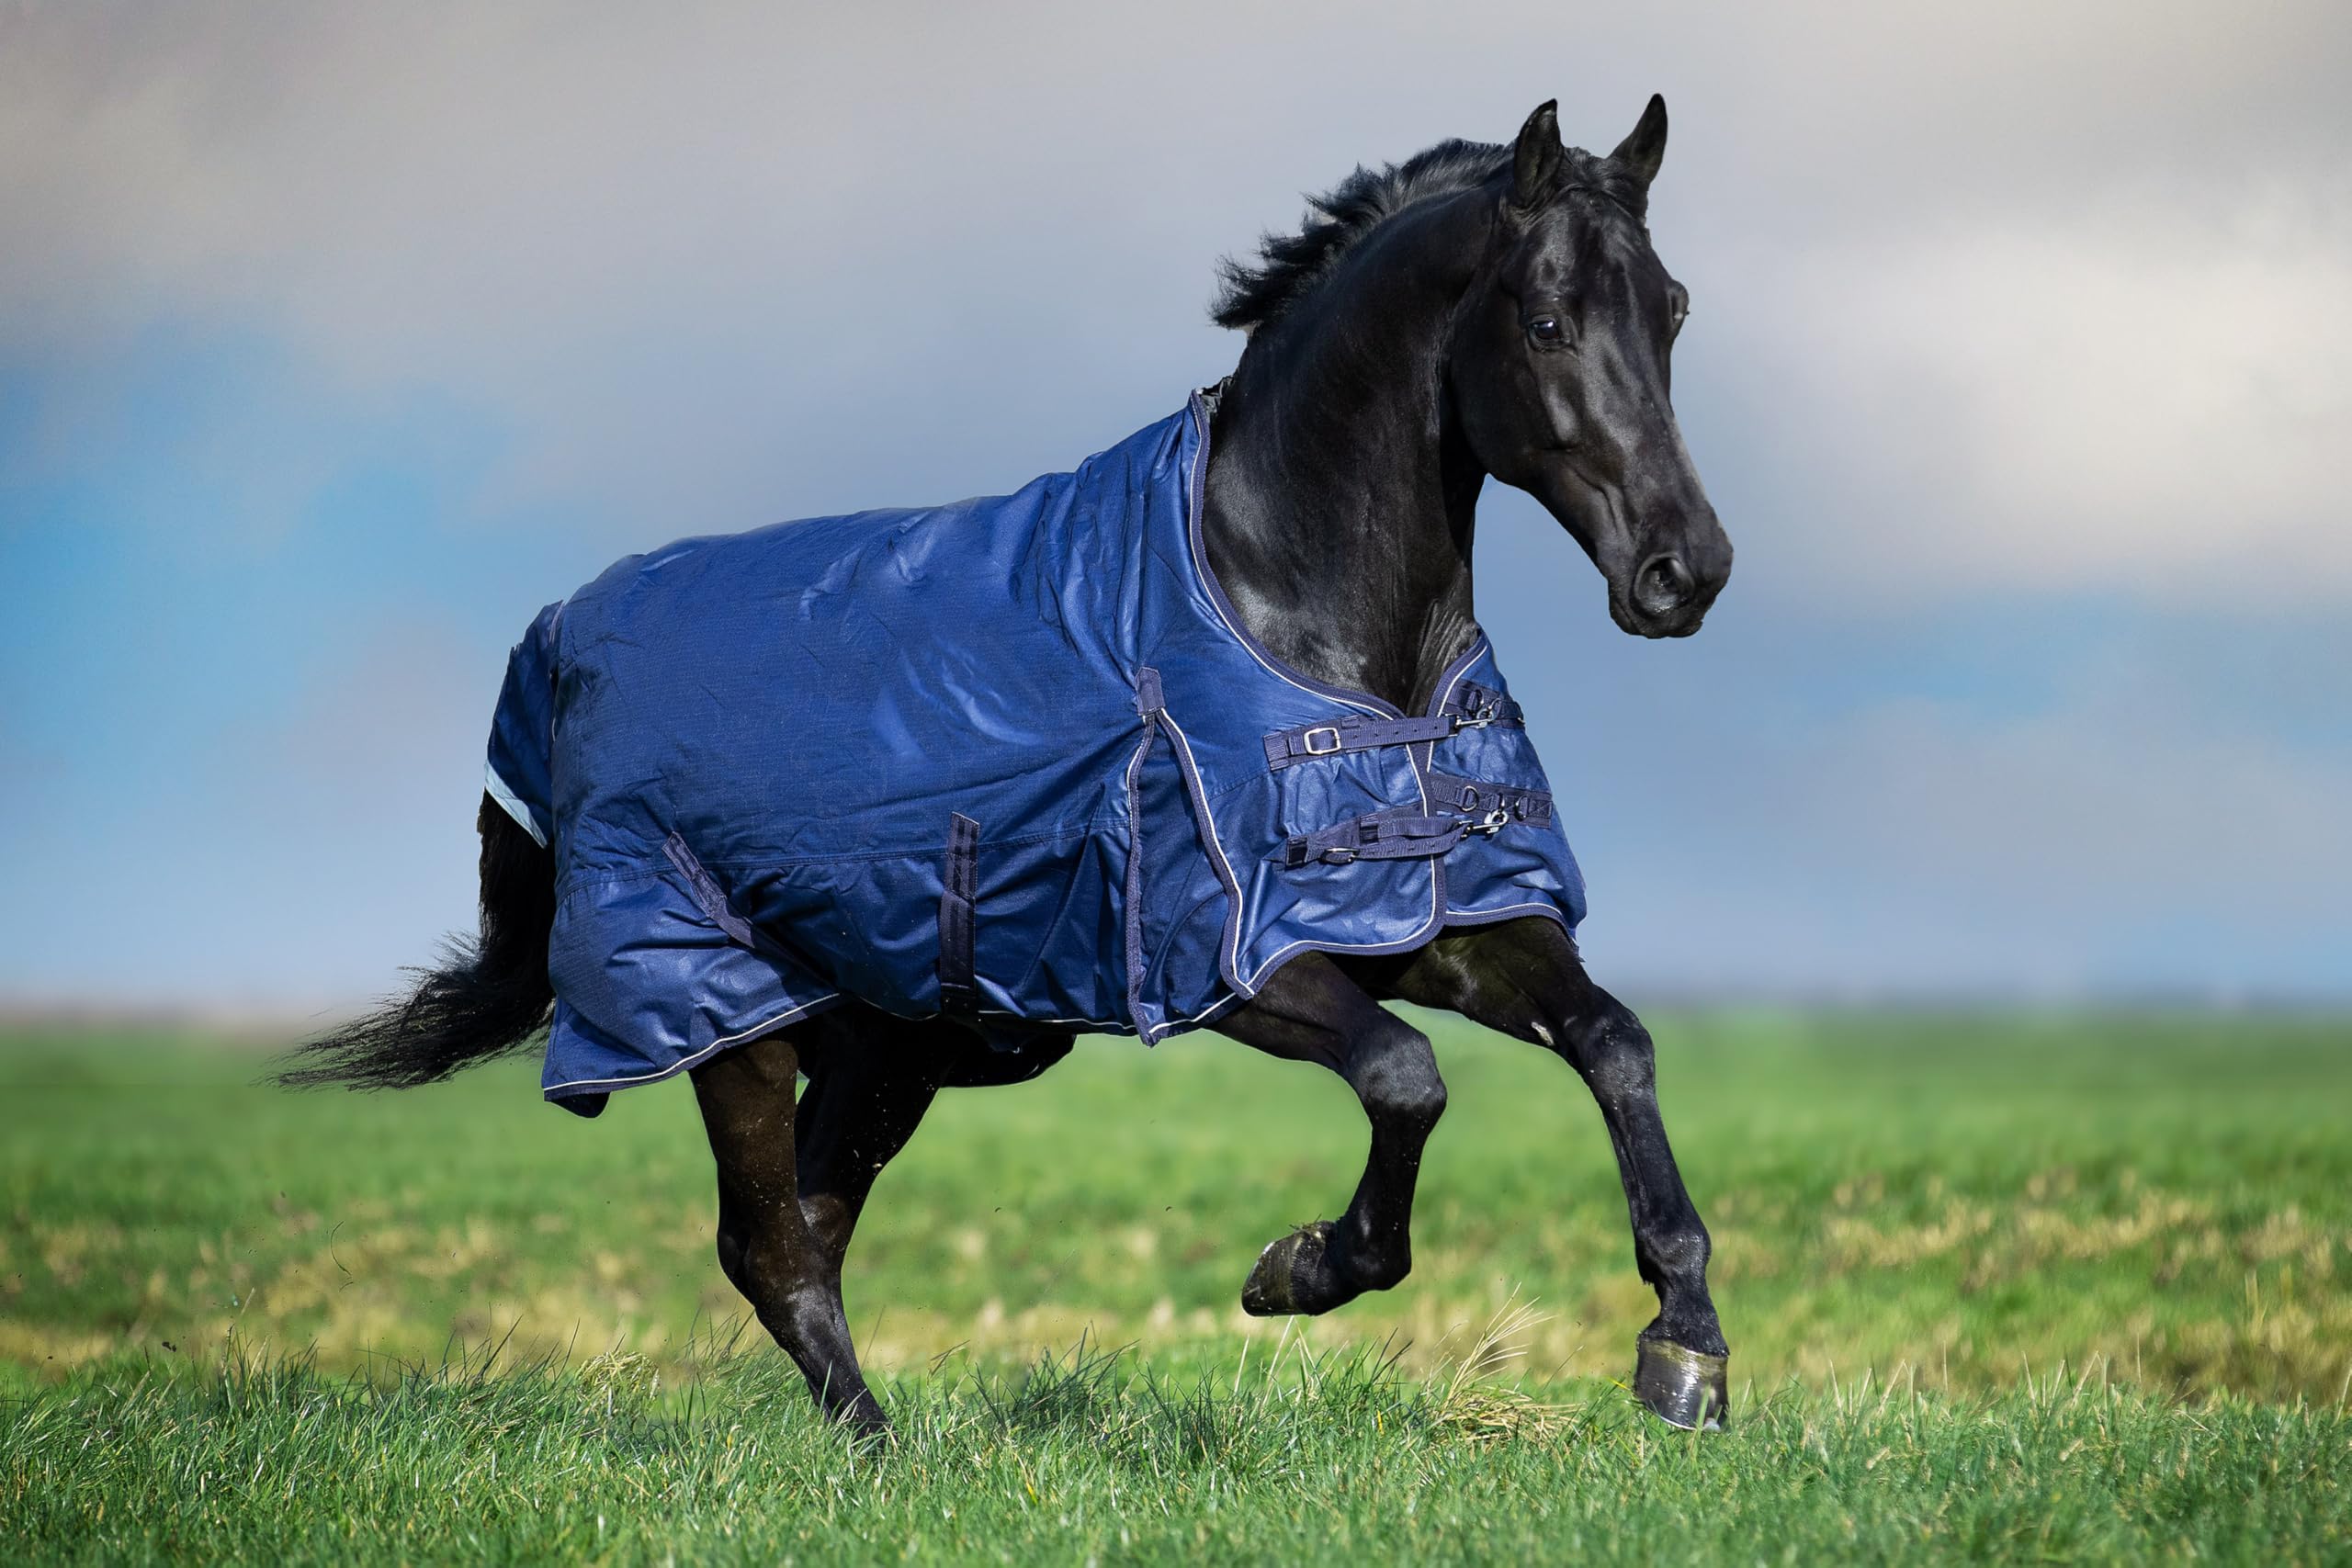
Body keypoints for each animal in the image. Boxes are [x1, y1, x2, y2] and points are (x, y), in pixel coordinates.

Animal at [281, 96, 1736, 1434]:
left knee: (807, 1228)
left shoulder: (1422, 918)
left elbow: (1615, 1042)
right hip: (727, 1020)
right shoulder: (1232, 964)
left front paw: (1686, 1351)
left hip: (884, 1044)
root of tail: (556, 642)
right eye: (1545, 321)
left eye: (1669, 309)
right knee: (769, 1245)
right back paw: (884, 1455)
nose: (1687, 570)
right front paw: (1296, 1270)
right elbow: (1404, 1076)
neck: (1282, 604)